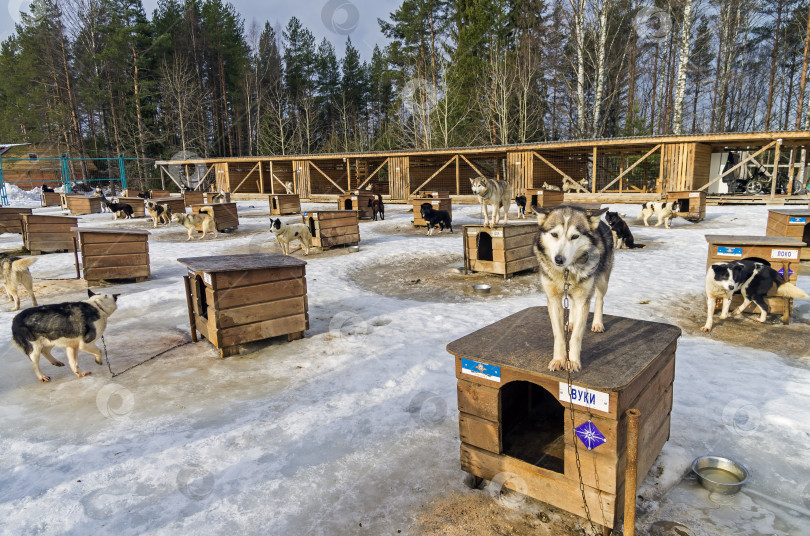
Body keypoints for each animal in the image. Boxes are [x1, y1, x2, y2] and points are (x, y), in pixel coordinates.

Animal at [532, 205, 612, 372]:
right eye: (554, 234)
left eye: (575, 236)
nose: (559, 259)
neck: (567, 271)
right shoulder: (554, 300)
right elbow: (559, 335)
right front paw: (558, 359)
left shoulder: (583, 299)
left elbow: (576, 337)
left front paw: (573, 361)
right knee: (573, 306)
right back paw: (571, 323)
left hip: (602, 281)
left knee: (599, 300)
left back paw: (597, 323)